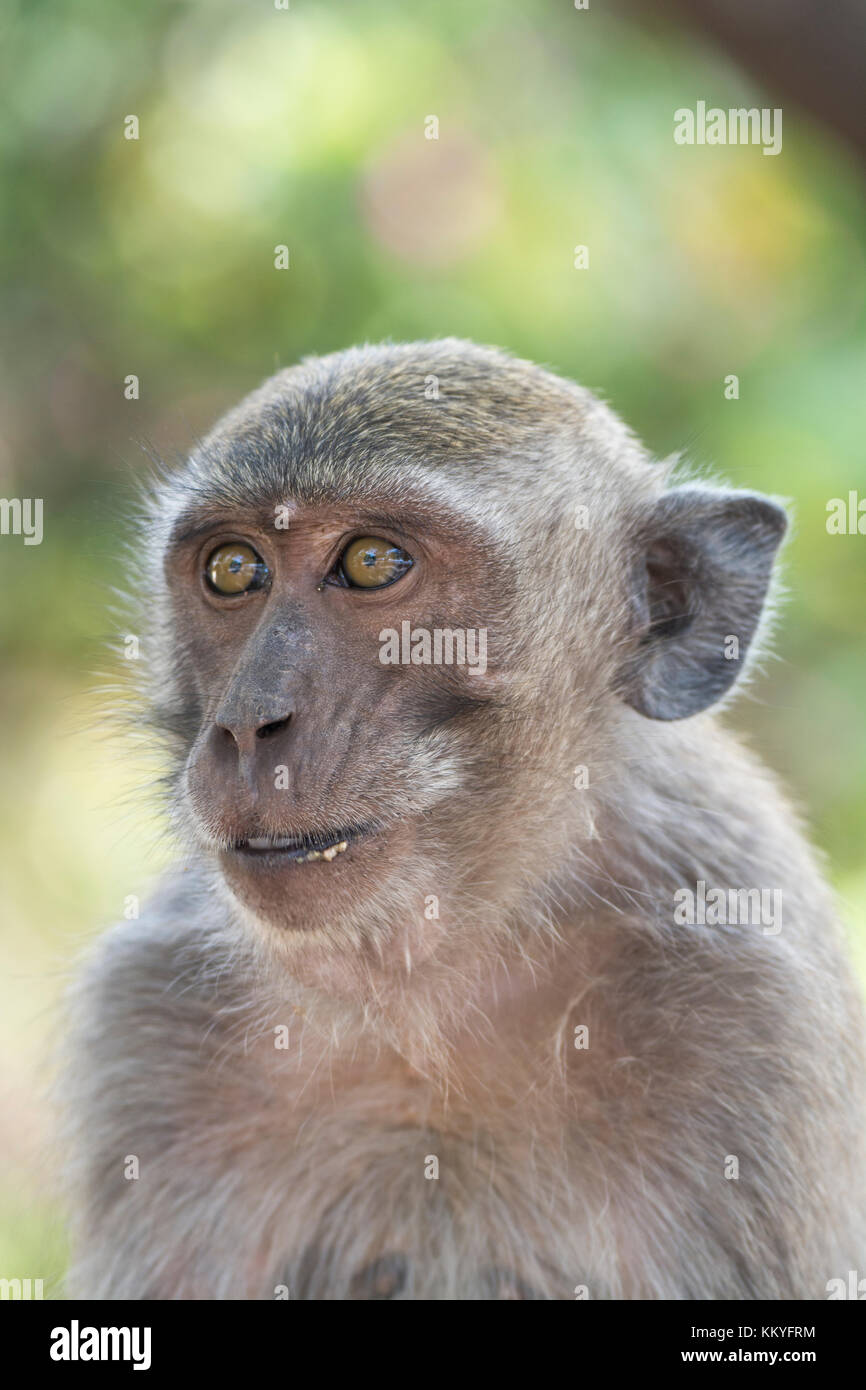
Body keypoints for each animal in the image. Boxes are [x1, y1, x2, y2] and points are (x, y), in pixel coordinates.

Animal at [61, 338, 866, 1300]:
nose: (249, 724)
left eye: (372, 562)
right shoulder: (150, 1015)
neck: (432, 976)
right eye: (233, 569)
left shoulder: (749, 1011)